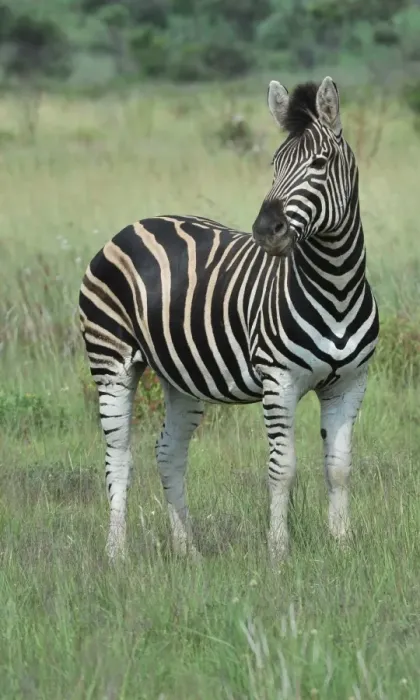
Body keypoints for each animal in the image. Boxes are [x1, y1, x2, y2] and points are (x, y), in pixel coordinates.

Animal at [79, 76, 379, 564]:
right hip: (111, 360)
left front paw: (343, 546)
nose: (266, 231)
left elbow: (339, 468)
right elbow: (283, 468)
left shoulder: (350, 383)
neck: (335, 284)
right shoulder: (279, 380)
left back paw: (188, 551)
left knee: (168, 453)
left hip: (179, 375)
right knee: (118, 457)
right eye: (274, 164)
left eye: (319, 163)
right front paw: (279, 554)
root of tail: (133, 224)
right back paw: (117, 555)